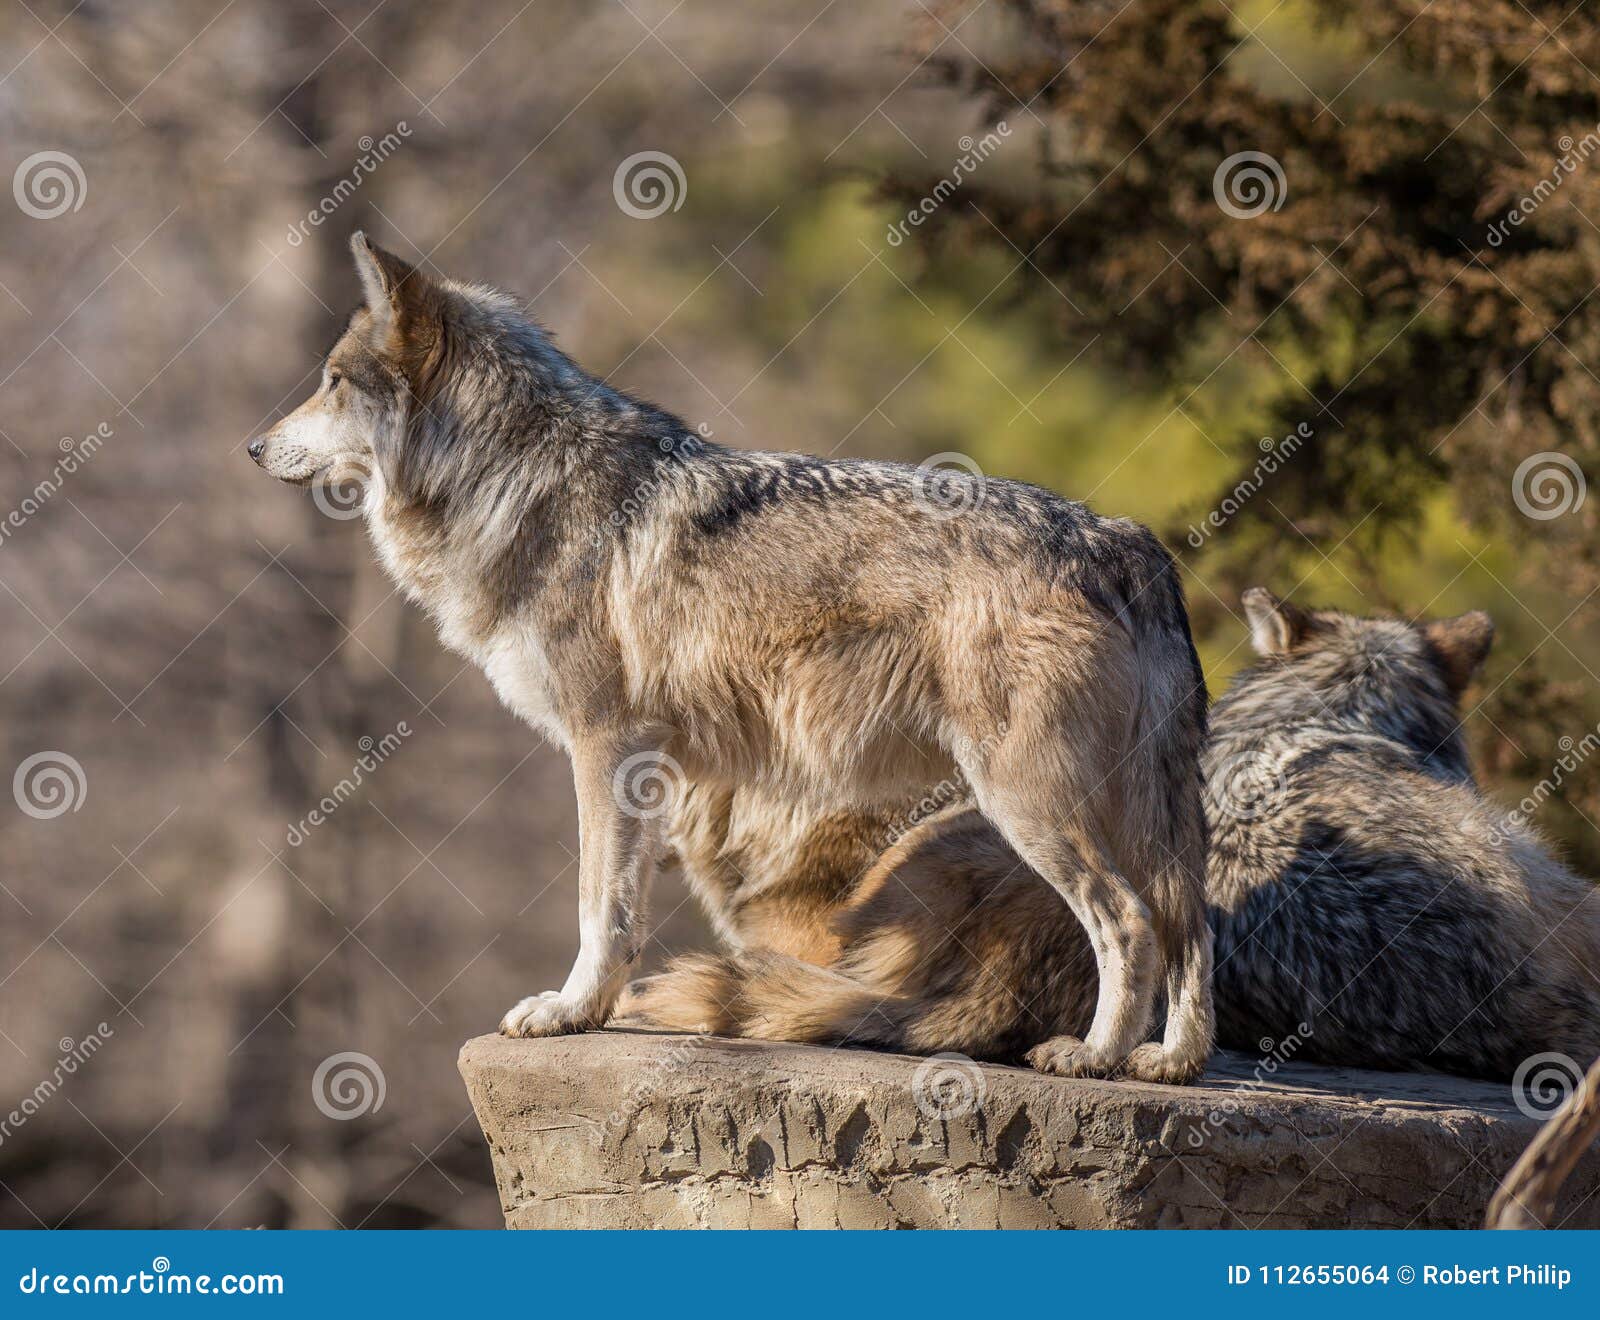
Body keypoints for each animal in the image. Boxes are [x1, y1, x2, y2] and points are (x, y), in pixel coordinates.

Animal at [243, 233, 1209, 1081]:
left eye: (330, 383)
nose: (251, 447)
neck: (514, 482)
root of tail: (1125, 540)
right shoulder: (648, 770)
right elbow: (624, 911)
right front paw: (591, 1012)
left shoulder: (606, 746)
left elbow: (597, 906)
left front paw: (566, 1010)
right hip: (1132, 815)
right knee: (1187, 923)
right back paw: (1170, 1063)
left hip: (1030, 804)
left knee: (1131, 922)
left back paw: (1096, 1058)